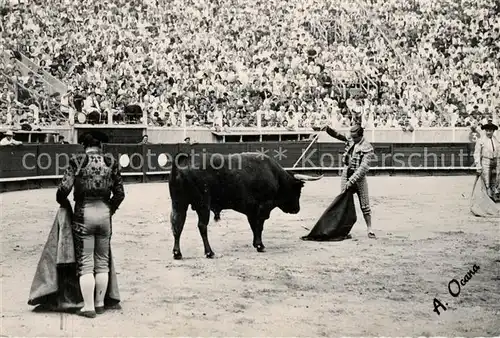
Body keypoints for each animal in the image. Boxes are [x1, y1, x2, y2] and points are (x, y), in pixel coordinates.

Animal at [169, 152, 324, 260]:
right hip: (203, 205)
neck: (276, 176)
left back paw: (177, 253)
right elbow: (259, 226)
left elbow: (254, 226)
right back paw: (209, 252)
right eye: (299, 190)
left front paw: (256, 244)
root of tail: (185, 161)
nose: (296, 209)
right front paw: (260, 246)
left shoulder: (251, 210)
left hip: (178, 204)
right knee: (201, 226)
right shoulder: (263, 206)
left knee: (177, 224)